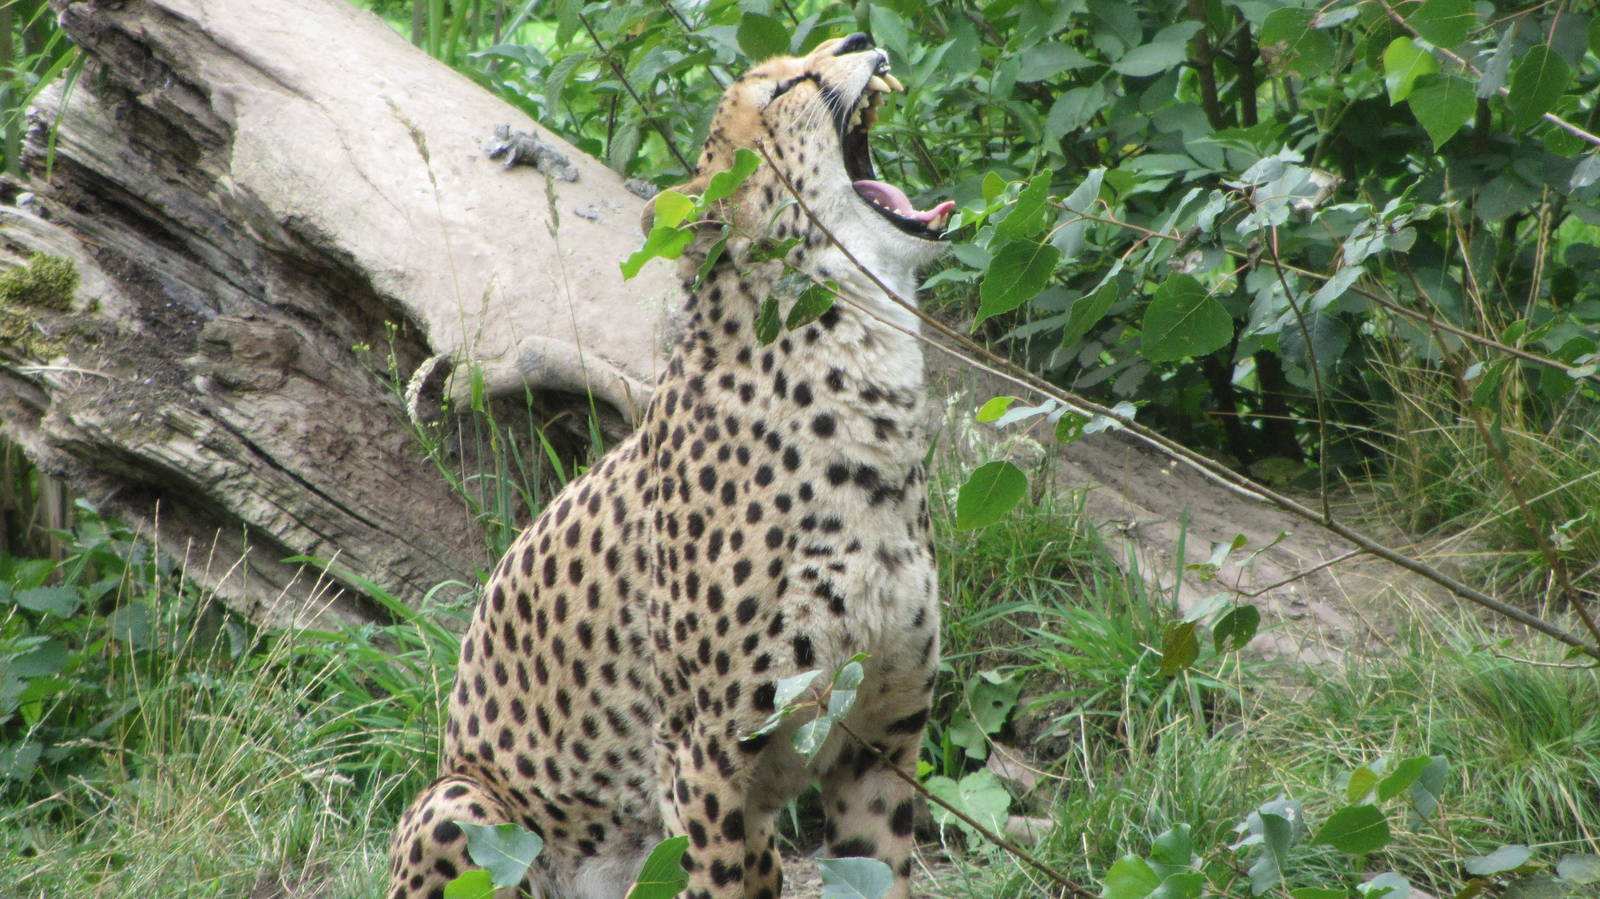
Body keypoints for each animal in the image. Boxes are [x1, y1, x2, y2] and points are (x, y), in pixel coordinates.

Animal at [387, 32, 956, 899]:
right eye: (786, 85)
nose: (861, 40)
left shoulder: (881, 738)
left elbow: (876, 869)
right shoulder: (704, 751)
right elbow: (717, 874)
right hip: (461, 801)